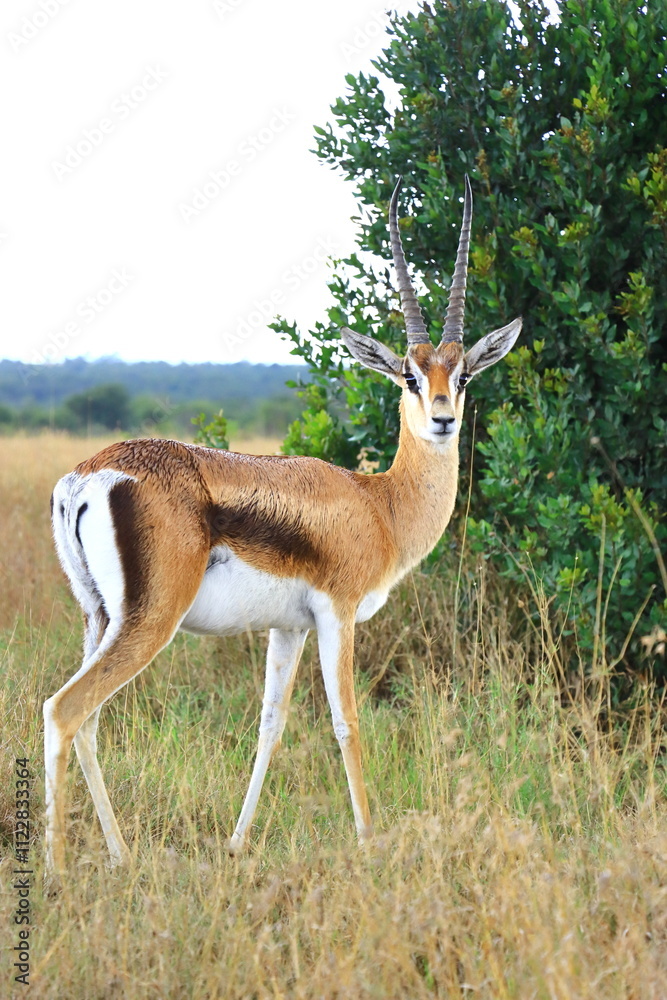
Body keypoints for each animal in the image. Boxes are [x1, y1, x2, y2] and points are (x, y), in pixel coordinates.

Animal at [44, 176, 521, 874]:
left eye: (461, 374)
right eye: (409, 374)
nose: (443, 419)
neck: (378, 503)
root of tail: (87, 476)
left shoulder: (288, 628)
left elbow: (270, 724)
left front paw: (237, 842)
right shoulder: (338, 614)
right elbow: (347, 722)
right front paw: (369, 843)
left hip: (99, 618)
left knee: (90, 721)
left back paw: (120, 856)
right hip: (150, 620)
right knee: (65, 709)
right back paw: (58, 870)